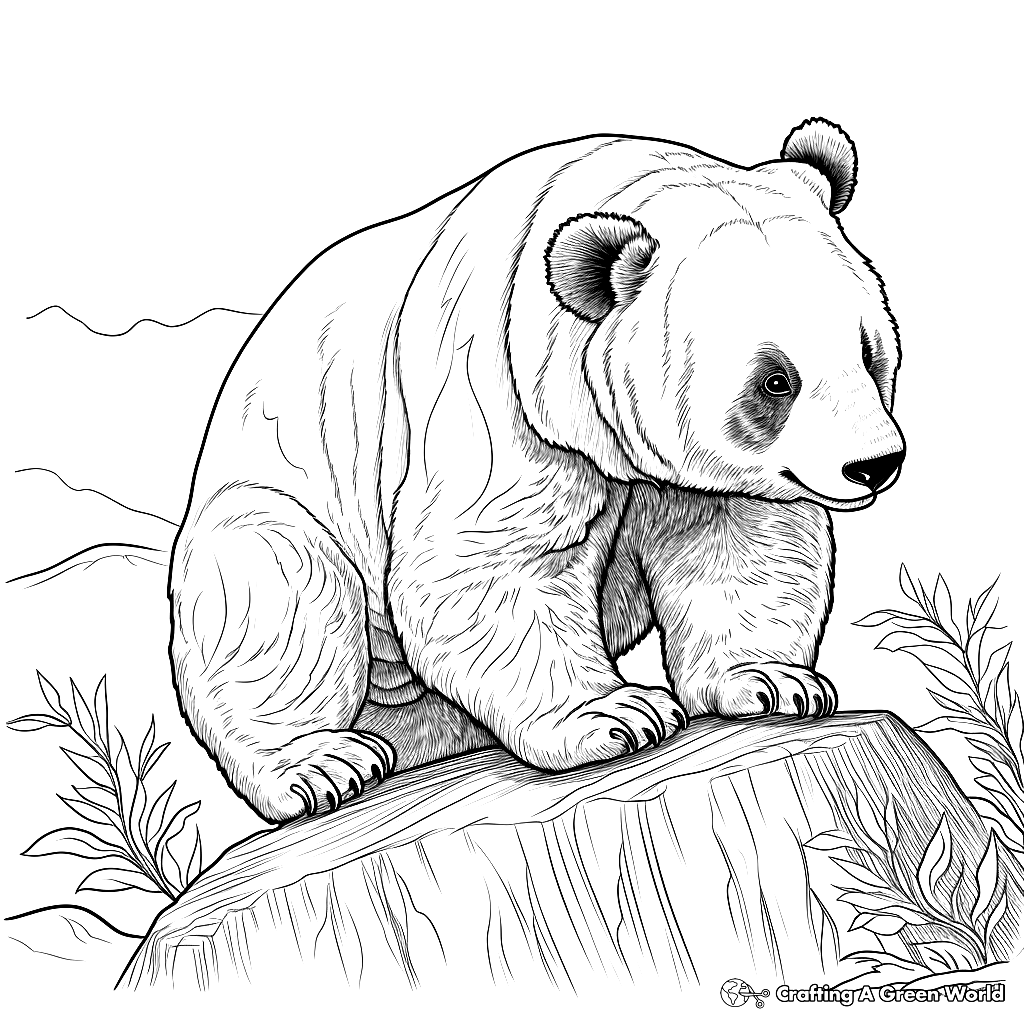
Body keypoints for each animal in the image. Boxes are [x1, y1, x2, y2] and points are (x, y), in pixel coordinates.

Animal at [169, 119, 905, 822]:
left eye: (871, 353)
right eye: (776, 380)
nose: (875, 465)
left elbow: (740, 544)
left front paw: (773, 682)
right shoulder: (495, 389)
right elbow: (490, 564)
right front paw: (616, 716)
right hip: (282, 488)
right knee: (280, 587)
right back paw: (321, 766)